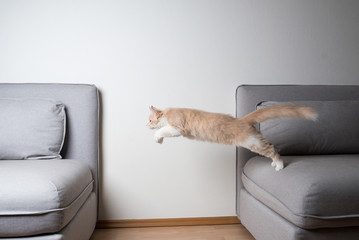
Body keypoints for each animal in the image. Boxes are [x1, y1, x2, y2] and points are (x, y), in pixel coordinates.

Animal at [146, 105, 318, 171]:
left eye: (149, 120)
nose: (145, 125)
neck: (169, 112)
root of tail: (242, 120)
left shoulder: (177, 127)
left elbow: (162, 130)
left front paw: (157, 138)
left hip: (252, 142)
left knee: (272, 148)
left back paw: (279, 165)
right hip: (255, 139)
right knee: (270, 145)